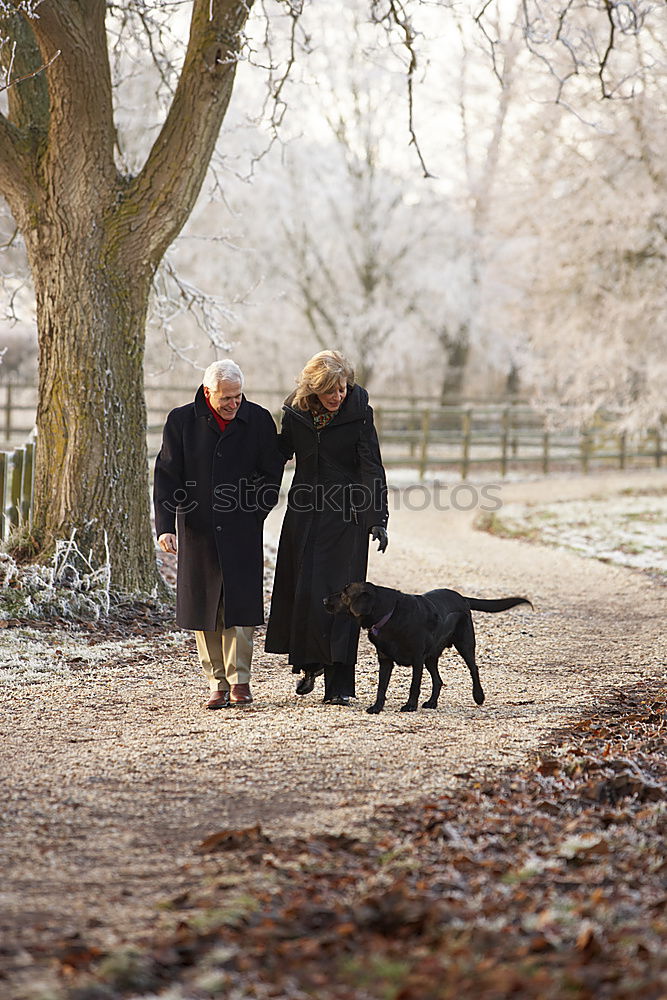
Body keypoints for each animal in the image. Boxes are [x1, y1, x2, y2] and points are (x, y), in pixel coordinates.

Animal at [324, 584, 532, 716]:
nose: (324, 599)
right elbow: (381, 686)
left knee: (474, 668)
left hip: (464, 644)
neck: (390, 614)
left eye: (344, 592)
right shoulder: (385, 660)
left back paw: (478, 696)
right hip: (431, 657)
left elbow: (414, 686)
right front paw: (377, 707)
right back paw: (432, 702)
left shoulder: (417, 659)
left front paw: (410, 706)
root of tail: (462, 597)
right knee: (438, 680)